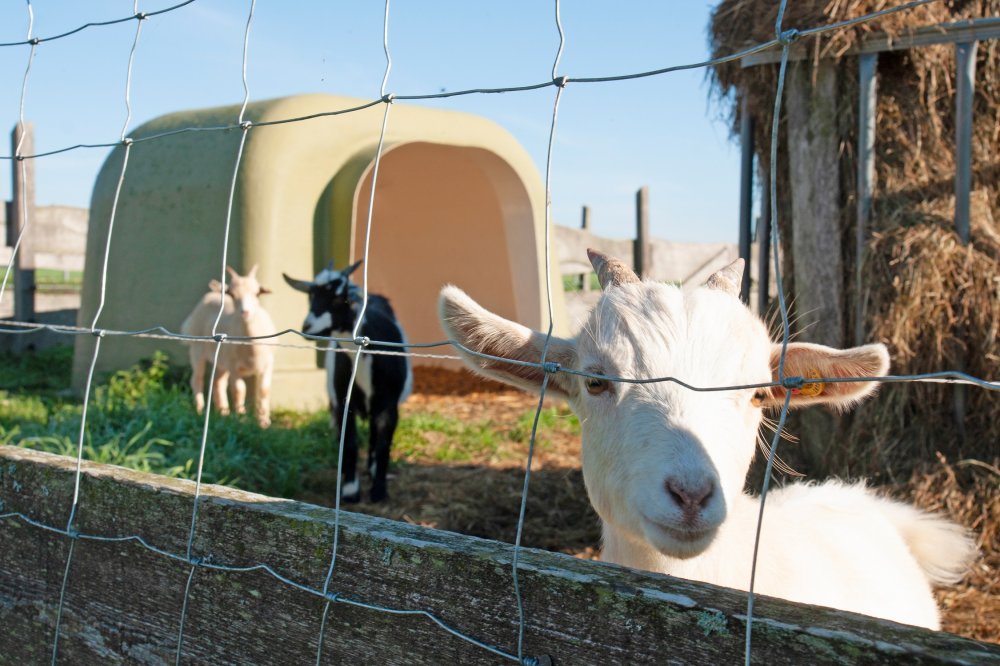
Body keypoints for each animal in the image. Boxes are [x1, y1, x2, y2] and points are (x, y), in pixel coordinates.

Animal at [181, 265, 276, 428]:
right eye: (232, 293)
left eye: (257, 292)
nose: (245, 312)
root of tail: (211, 294)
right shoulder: (233, 365)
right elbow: (239, 389)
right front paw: (241, 418)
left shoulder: (268, 363)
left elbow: (264, 390)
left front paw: (264, 421)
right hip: (197, 349)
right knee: (197, 379)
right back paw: (200, 411)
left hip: (220, 361)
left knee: (218, 383)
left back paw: (223, 412)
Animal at [283, 260, 412, 503]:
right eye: (311, 296)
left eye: (337, 299)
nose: (307, 328)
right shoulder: (343, 400)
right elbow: (349, 442)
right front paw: (351, 490)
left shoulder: (389, 404)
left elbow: (383, 443)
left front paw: (379, 490)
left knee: (374, 436)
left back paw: (372, 469)